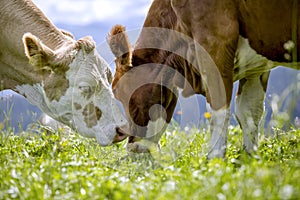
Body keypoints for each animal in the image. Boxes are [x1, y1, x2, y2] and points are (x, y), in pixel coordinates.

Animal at [108, 0, 300, 159]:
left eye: (119, 92)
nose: (131, 146)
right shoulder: (256, 68)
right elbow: (249, 111)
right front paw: (251, 158)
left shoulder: (214, 43)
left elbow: (218, 110)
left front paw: (215, 160)